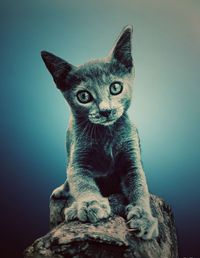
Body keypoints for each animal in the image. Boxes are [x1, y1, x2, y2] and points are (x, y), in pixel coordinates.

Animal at [41, 25, 159, 240]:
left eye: (115, 87)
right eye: (84, 96)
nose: (105, 110)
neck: (106, 136)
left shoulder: (132, 158)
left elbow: (140, 185)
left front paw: (144, 218)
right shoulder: (77, 160)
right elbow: (80, 180)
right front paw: (90, 204)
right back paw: (63, 193)